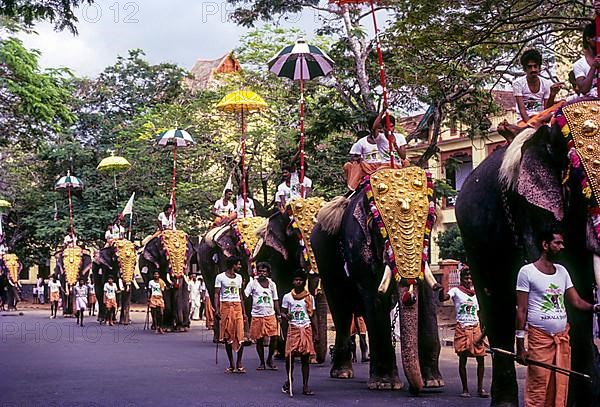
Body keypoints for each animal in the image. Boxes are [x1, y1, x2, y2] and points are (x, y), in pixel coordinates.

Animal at [312, 167, 442, 394]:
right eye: (375, 224)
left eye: (431, 219)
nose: (415, 389)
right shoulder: (358, 244)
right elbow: (374, 295)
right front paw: (385, 384)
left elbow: (426, 296)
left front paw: (433, 382)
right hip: (325, 262)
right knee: (341, 311)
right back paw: (342, 373)